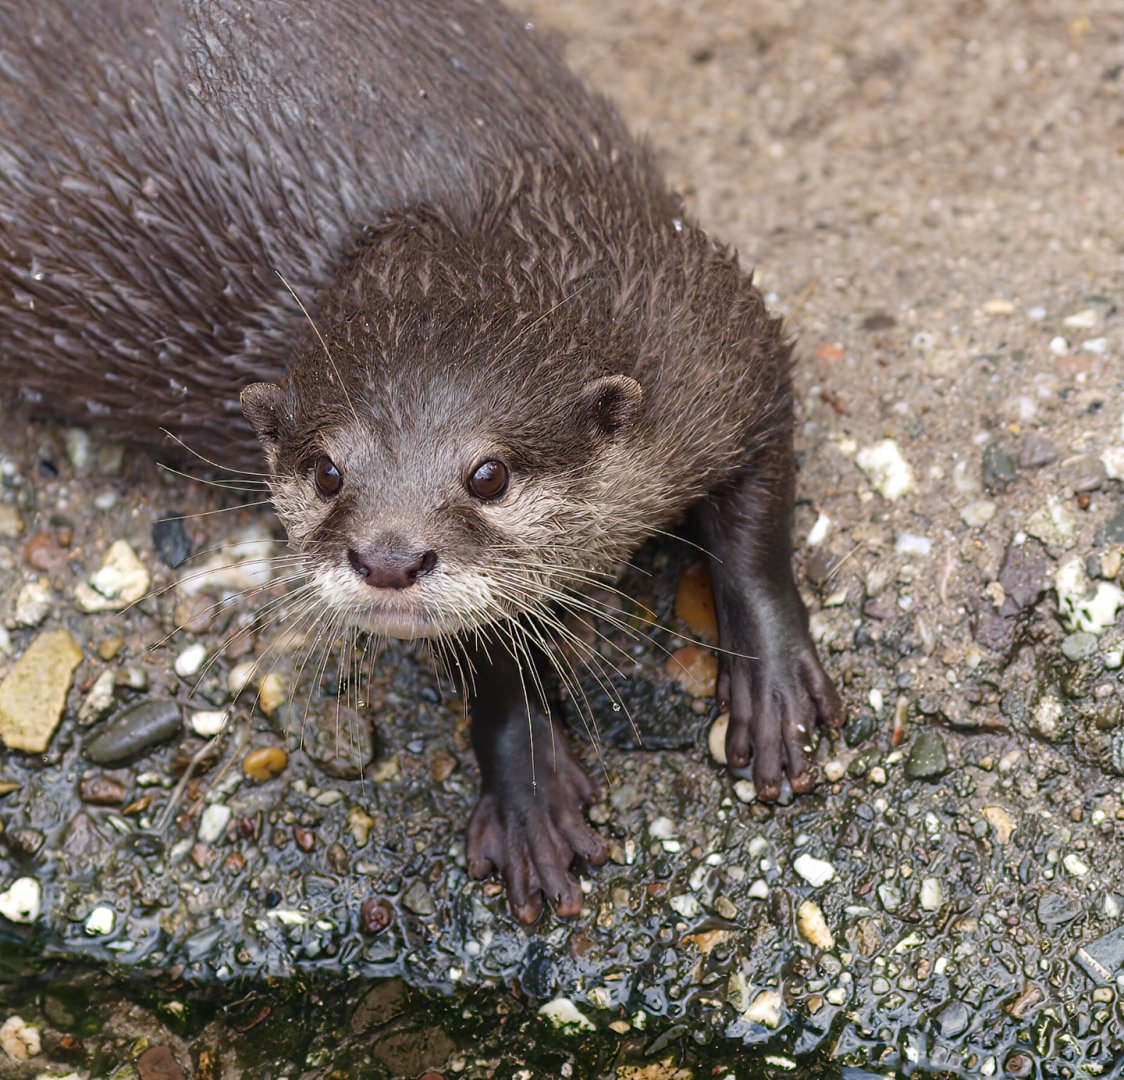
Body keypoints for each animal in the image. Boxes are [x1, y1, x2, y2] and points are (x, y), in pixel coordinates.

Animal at [0, 0, 843, 923]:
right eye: (327, 471)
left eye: (489, 475)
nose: (389, 557)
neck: (471, 231)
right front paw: (528, 790)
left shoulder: (711, 332)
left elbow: (757, 517)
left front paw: (772, 689)